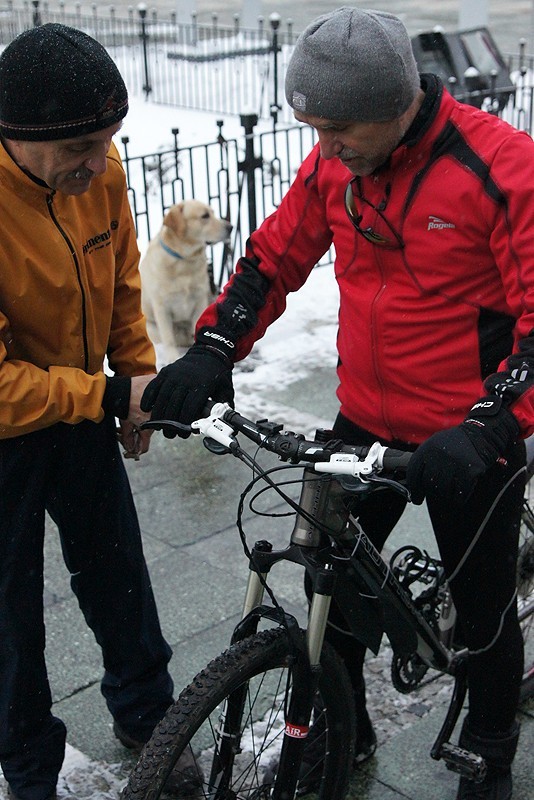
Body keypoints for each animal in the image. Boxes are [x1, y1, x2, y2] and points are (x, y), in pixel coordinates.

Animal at [141, 200, 233, 362]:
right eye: (205, 216)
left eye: (213, 212)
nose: (230, 227)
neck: (184, 261)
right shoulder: (162, 308)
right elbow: (168, 338)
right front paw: (172, 357)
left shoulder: (200, 300)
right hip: (152, 328)